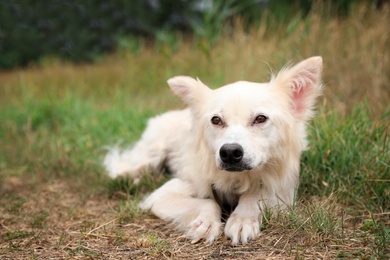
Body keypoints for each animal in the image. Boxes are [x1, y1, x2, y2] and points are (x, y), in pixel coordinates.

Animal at [104, 55, 322, 245]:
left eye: (260, 118)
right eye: (216, 120)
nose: (230, 153)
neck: (236, 180)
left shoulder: (282, 190)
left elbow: (254, 196)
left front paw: (242, 219)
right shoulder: (161, 196)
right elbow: (208, 202)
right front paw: (207, 222)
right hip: (151, 154)